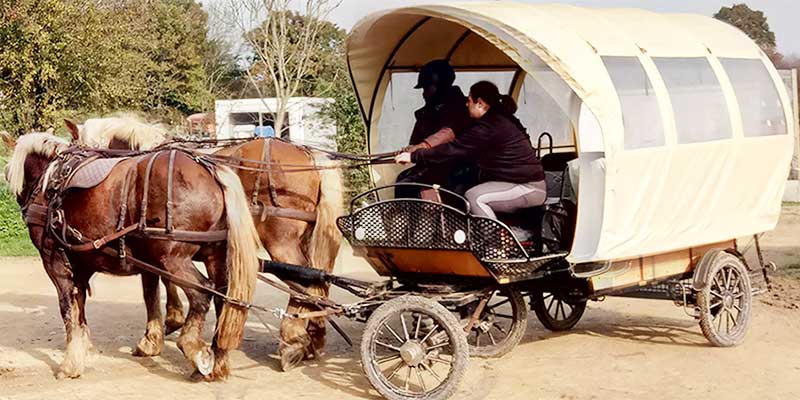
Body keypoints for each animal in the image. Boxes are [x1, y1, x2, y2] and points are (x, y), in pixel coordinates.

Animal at [1, 132, 260, 382]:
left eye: (7, 173)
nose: (20, 202)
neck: (50, 182)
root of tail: (209, 169)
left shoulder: (55, 263)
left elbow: (68, 309)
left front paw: (70, 364)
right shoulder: (89, 265)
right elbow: (97, 305)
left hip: (172, 259)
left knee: (202, 293)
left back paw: (193, 347)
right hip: (213, 255)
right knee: (223, 299)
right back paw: (218, 362)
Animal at [69, 116, 344, 372]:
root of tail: (307, 155)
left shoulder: (155, 245)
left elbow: (153, 288)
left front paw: (160, 331)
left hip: (281, 242)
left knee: (305, 283)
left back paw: (293, 340)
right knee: (319, 281)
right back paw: (314, 338)